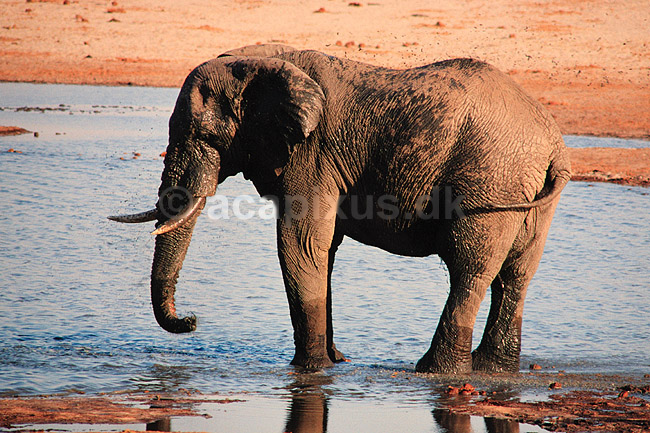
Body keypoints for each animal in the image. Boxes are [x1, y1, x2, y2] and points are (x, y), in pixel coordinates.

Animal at [109, 44, 571, 373]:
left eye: (204, 135)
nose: (192, 320)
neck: (256, 62)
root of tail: (554, 145)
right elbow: (323, 249)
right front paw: (334, 364)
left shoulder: (311, 155)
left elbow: (299, 245)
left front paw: (309, 370)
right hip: (524, 193)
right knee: (516, 274)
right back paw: (492, 370)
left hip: (490, 182)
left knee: (469, 268)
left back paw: (436, 372)